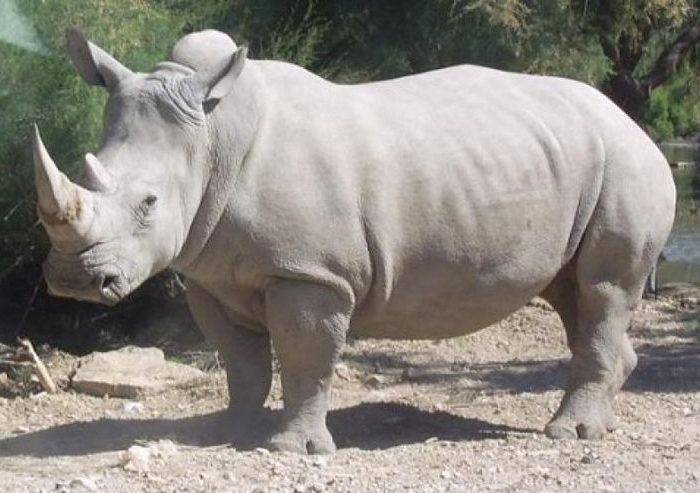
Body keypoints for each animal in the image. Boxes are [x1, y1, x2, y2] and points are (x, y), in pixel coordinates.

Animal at [34, 29, 675, 454]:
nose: (73, 280)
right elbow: (241, 361)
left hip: (627, 165)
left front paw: (292, 449)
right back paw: (601, 423)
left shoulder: (312, 272)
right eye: (83, 171)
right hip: (576, 162)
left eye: (149, 204)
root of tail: (635, 124)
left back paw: (570, 434)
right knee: (575, 295)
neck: (213, 139)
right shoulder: (209, 274)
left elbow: (304, 356)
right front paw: (228, 432)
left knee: (601, 290)